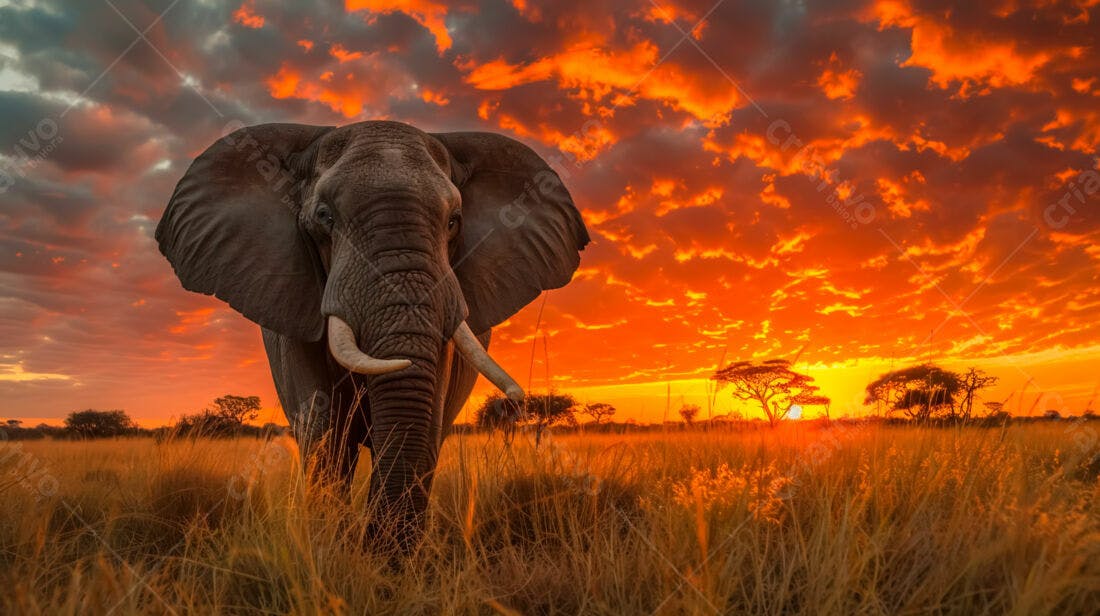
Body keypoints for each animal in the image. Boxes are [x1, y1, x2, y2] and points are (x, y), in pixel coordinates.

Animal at [155, 120, 589, 547]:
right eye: (325, 217)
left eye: (454, 221)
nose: (516, 402)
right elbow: (323, 432)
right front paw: (332, 548)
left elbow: (426, 425)